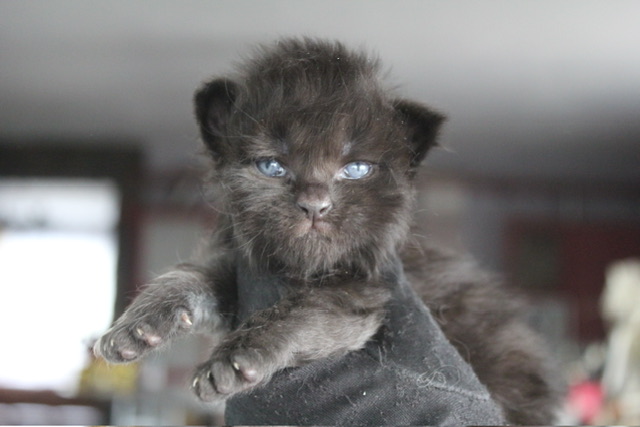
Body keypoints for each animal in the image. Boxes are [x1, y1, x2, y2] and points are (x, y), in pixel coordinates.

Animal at [94, 38, 561, 424]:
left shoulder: (361, 296)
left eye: (355, 169)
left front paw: (236, 359)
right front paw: (136, 326)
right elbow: (188, 275)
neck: (301, 270)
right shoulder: (242, 267)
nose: (315, 204)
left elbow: (300, 312)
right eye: (272, 166)